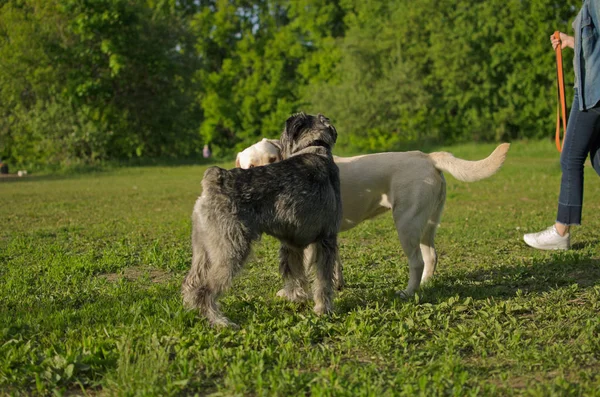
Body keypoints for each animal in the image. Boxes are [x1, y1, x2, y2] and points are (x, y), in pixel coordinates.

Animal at [182, 113, 342, 326]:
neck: (315, 147)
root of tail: (214, 181)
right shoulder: (326, 240)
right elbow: (323, 282)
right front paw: (324, 310)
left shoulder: (292, 244)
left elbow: (295, 274)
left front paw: (297, 298)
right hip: (231, 250)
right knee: (205, 290)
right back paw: (221, 322)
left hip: (205, 251)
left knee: (191, 283)